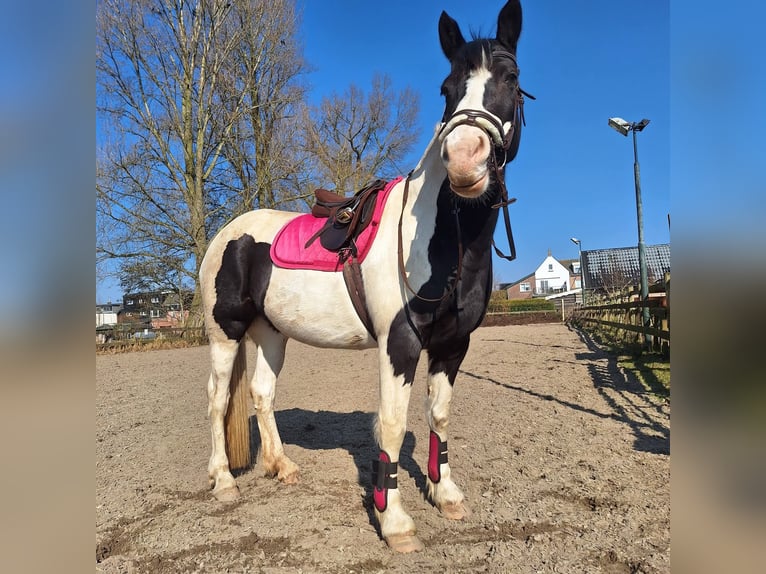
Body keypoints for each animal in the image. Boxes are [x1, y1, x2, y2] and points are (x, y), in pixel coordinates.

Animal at [200, 0, 531, 553]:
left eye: (511, 77)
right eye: (447, 88)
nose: (465, 160)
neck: (444, 241)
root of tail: (228, 233)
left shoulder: (453, 346)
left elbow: (438, 416)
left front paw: (446, 495)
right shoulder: (400, 344)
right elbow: (391, 426)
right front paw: (394, 521)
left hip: (271, 333)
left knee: (263, 394)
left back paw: (282, 466)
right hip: (225, 333)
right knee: (219, 398)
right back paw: (224, 481)